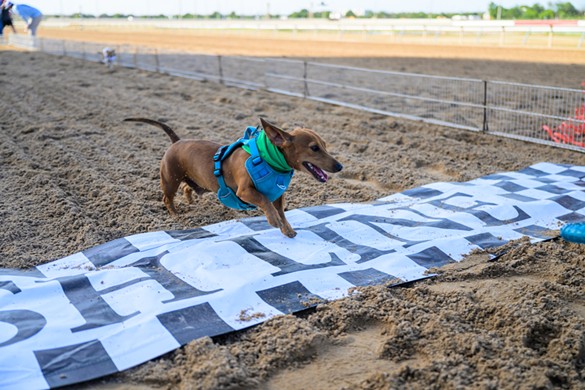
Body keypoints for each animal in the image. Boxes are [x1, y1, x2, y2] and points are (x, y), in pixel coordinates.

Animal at [124, 116, 342, 238]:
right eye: (314, 148)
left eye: (324, 144)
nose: (340, 166)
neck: (269, 159)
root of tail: (177, 142)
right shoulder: (245, 191)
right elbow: (265, 201)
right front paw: (273, 221)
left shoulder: (279, 196)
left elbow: (281, 212)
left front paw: (287, 230)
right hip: (170, 180)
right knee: (166, 198)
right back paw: (176, 215)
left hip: (197, 182)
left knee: (187, 187)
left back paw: (191, 201)